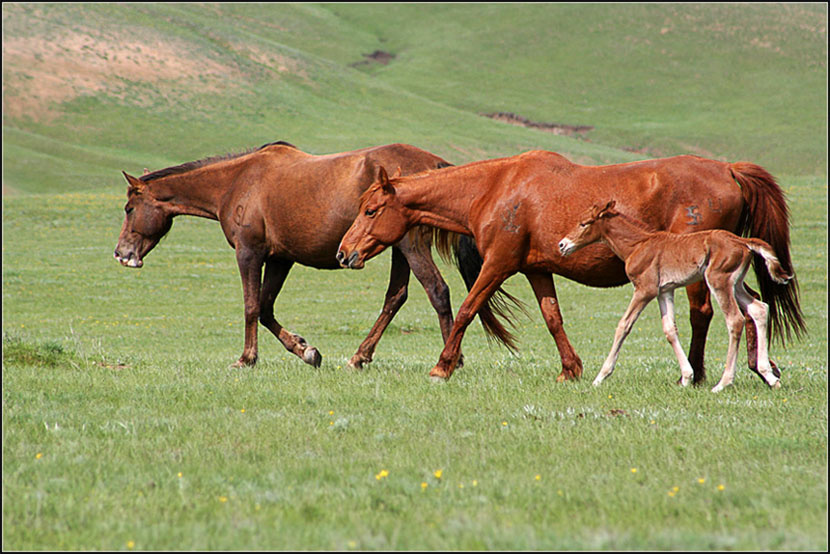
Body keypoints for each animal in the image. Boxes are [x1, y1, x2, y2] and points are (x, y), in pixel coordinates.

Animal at [114, 141, 506, 369]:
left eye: (130, 208)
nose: (121, 253)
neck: (237, 182)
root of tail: (436, 166)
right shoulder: (280, 258)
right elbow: (266, 307)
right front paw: (306, 351)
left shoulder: (250, 252)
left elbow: (251, 306)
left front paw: (247, 359)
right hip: (398, 248)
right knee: (396, 297)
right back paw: (359, 357)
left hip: (411, 246)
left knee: (437, 291)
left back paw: (451, 360)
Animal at [559, 201, 791, 392]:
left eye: (584, 223)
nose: (562, 245)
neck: (638, 245)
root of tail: (742, 242)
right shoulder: (665, 291)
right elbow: (670, 329)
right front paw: (687, 377)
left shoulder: (645, 290)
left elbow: (623, 325)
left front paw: (600, 377)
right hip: (736, 284)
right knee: (759, 308)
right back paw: (770, 377)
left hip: (718, 281)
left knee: (735, 319)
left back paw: (724, 383)